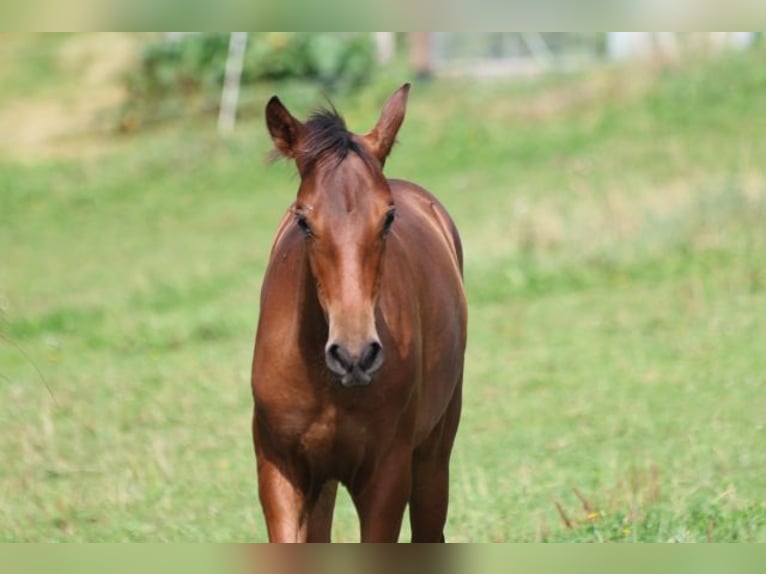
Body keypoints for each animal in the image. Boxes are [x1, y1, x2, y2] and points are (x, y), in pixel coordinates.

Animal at [252, 84, 468, 544]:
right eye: (303, 220)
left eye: (388, 217)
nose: (354, 356)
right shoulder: (280, 471)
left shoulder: (385, 477)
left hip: (433, 452)